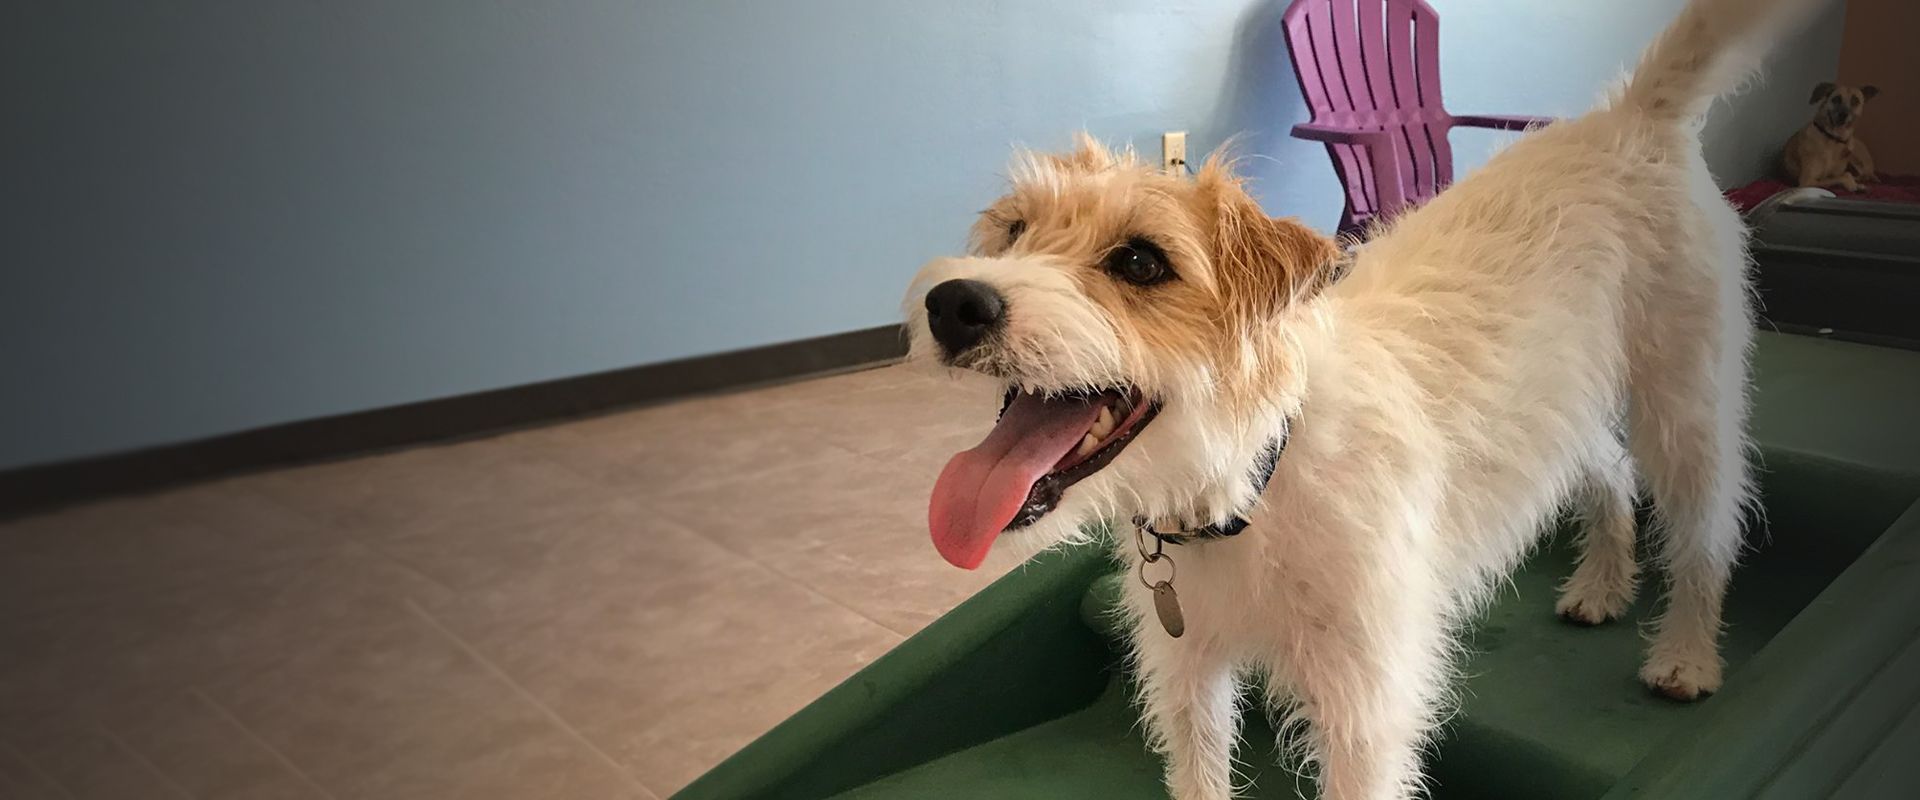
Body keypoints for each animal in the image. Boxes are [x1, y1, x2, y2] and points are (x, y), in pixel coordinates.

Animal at [898, 3, 1812, 794]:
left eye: (1141, 263)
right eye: (1014, 231)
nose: (953, 304)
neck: (1256, 479)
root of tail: (1629, 119)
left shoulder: (1364, 715)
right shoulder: (1189, 682)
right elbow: (1200, 773)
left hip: (1684, 403)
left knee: (1706, 530)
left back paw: (1686, 657)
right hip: (1561, 406)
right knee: (1611, 471)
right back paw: (1602, 586)